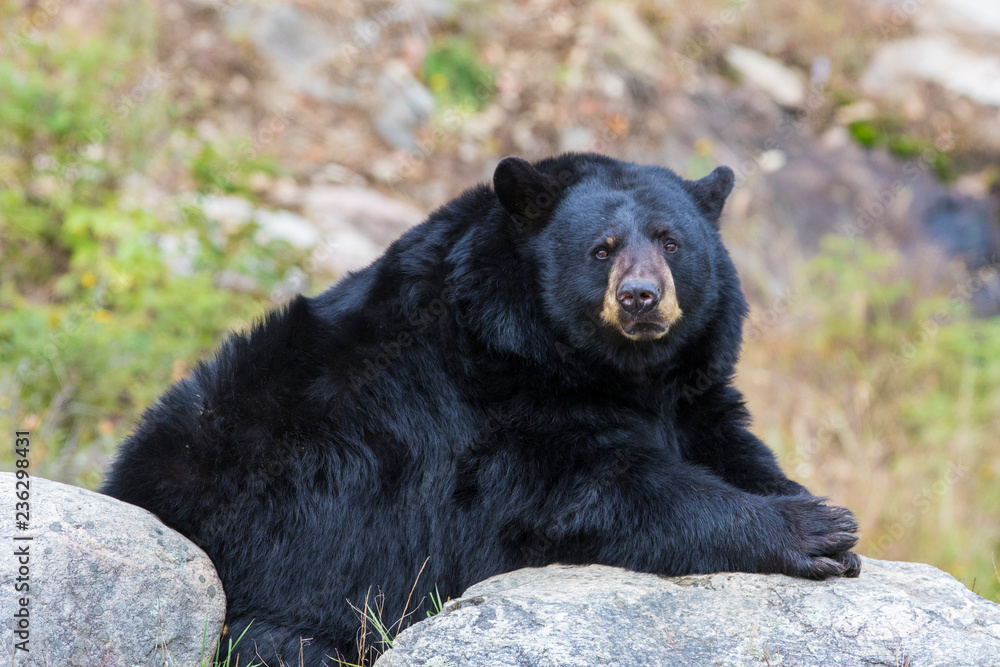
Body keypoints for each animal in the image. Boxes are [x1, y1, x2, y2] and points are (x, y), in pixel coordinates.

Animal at [102, 152, 861, 666]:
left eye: (672, 242)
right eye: (603, 249)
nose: (641, 297)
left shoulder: (690, 387)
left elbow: (729, 442)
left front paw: (810, 503)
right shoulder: (484, 412)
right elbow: (592, 496)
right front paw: (814, 531)